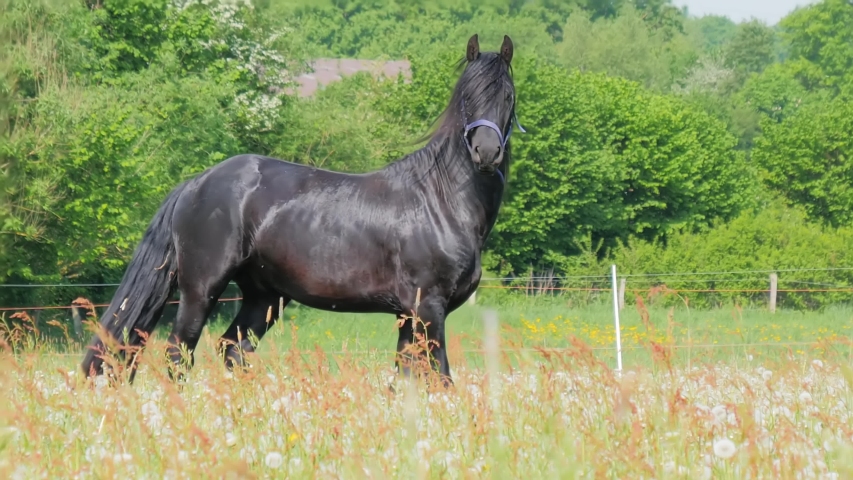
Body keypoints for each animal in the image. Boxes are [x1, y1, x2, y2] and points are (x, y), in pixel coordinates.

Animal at [80, 34, 523, 388]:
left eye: (508, 96)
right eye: (467, 96)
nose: (486, 153)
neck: (441, 200)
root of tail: (197, 182)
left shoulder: (407, 316)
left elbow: (407, 377)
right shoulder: (429, 308)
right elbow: (440, 376)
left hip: (264, 297)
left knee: (232, 349)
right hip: (199, 290)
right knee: (179, 353)